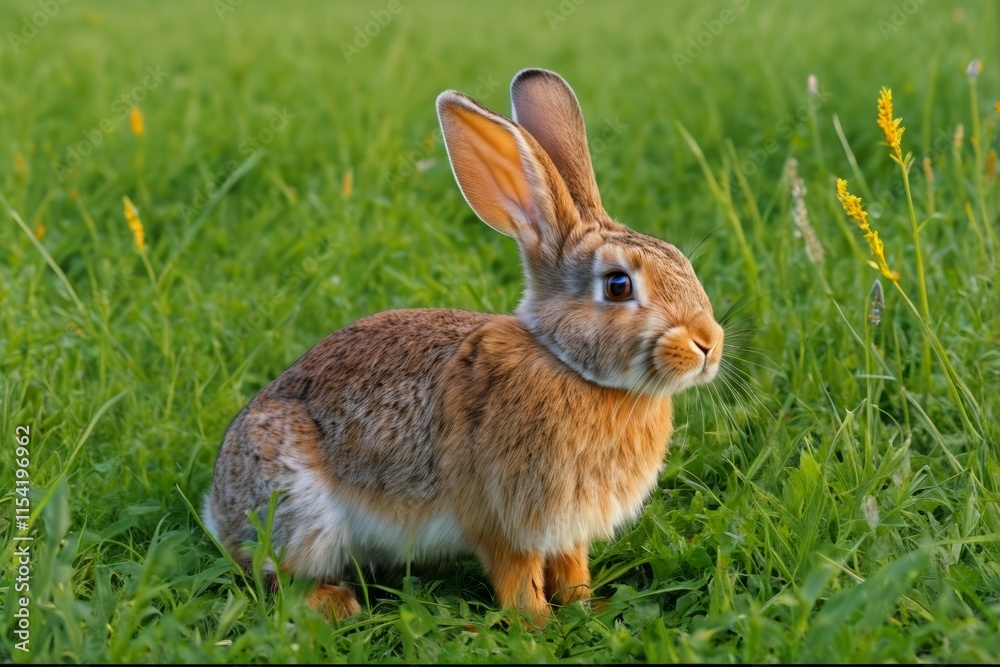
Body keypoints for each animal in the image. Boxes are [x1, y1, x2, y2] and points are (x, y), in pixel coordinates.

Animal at [203, 68, 724, 623]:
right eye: (618, 285)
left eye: (680, 259)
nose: (709, 344)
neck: (567, 365)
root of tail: (218, 506)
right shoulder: (501, 518)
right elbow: (516, 574)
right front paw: (536, 623)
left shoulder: (565, 527)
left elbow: (571, 564)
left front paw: (587, 605)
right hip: (299, 507)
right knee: (278, 574)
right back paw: (336, 602)